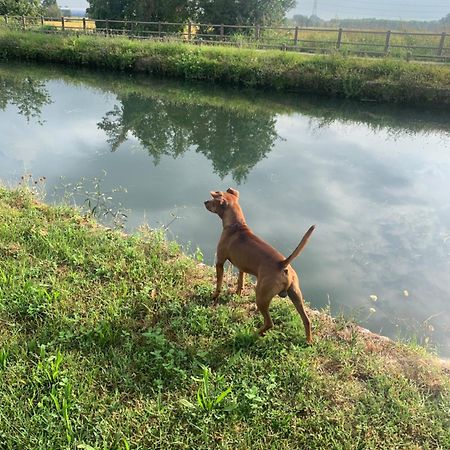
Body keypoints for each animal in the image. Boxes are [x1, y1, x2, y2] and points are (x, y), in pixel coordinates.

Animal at [204, 188, 312, 342]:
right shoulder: (241, 266)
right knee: (306, 320)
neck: (236, 225)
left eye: (213, 200)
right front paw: (238, 293)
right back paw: (308, 341)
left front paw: (214, 296)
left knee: (269, 323)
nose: (205, 202)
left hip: (261, 297)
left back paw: (252, 334)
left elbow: (218, 284)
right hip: (296, 295)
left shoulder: (219, 262)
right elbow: (240, 281)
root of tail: (282, 264)